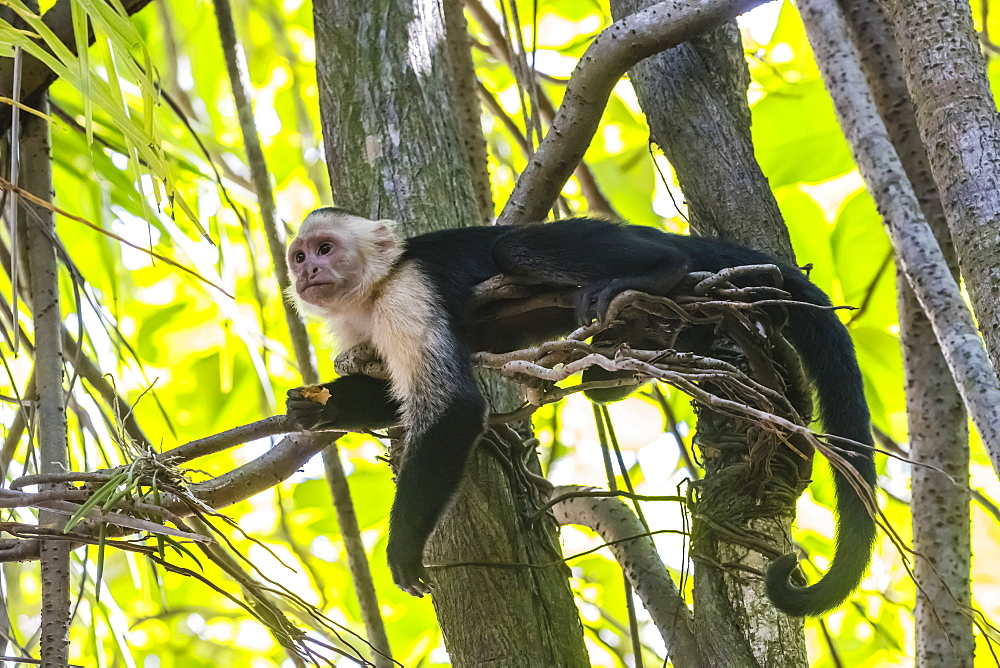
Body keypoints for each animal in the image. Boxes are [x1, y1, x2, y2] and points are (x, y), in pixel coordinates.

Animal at [284, 207, 876, 616]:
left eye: (325, 247)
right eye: (299, 255)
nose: (308, 272)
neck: (371, 292)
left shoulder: (406, 293)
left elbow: (454, 406)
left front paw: (404, 548)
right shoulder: (358, 327)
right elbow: (394, 396)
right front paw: (323, 406)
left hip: (617, 239)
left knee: (520, 247)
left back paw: (659, 271)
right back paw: (635, 360)